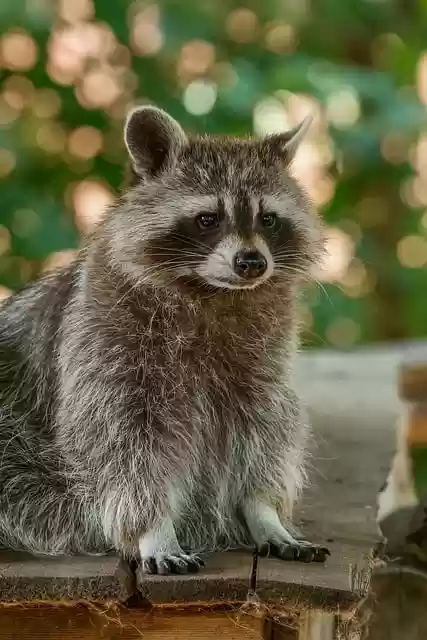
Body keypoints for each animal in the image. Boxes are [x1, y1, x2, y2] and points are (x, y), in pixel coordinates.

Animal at [0, 106, 327, 574]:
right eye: (208, 219)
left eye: (268, 219)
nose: (252, 263)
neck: (211, 293)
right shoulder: (103, 347)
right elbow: (123, 445)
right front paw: (153, 528)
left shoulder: (262, 363)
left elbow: (265, 428)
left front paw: (262, 510)